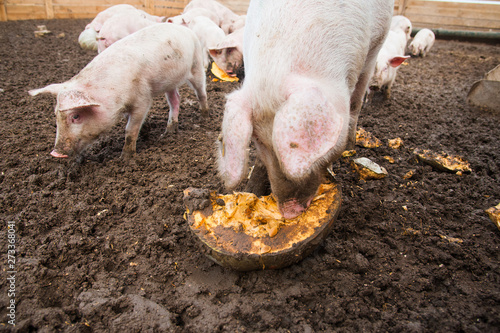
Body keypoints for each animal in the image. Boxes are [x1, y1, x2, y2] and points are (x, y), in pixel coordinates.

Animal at [28, 23, 208, 158]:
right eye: (56, 115)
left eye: (76, 116)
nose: (55, 153)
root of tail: (185, 29)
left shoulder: (143, 99)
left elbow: (130, 129)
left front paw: (125, 158)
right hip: (170, 81)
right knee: (175, 99)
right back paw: (169, 132)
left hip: (197, 64)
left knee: (201, 92)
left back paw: (204, 115)